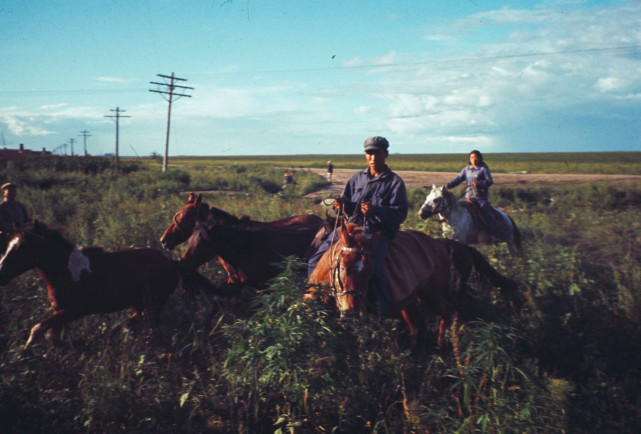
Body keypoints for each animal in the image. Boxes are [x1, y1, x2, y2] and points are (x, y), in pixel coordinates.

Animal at [0, 220, 185, 350]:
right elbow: (52, 336)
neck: (66, 270)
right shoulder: (60, 311)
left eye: (20, 248)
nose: (1, 272)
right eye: (8, 244)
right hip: (141, 304)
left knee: (156, 327)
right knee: (137, 321)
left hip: (154, 304)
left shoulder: (75, 311)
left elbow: (37, 329)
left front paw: (27, 350)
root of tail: (170, 262)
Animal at [304, 224, 516, 350]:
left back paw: (440, 347)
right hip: (416, 300)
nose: (352, 312)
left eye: (371, 272)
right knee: (420, 326)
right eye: (342, 267)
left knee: (446, 315)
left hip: (433, 296)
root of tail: (443, 245)